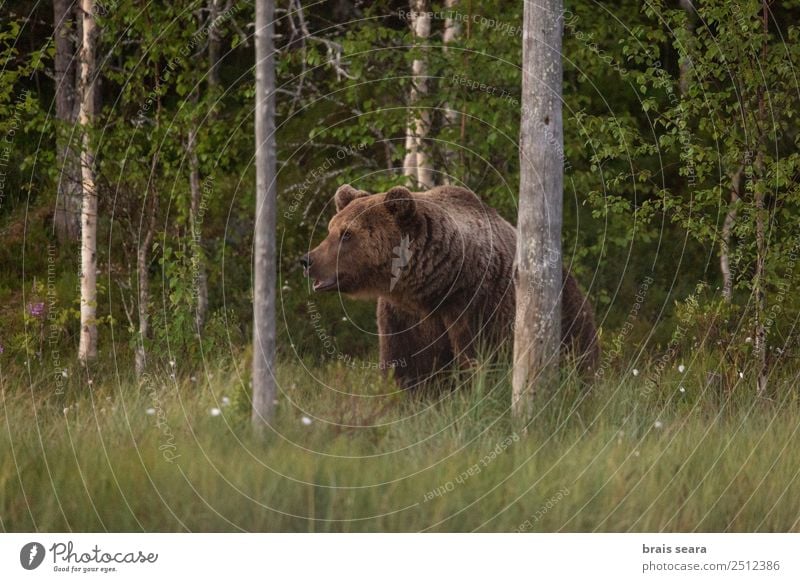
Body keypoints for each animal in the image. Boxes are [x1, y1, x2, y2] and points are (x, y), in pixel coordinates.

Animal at [302, 185, 600, 390]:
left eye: (347, 234)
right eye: (331, 229)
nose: (308, 260)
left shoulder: (476, 305)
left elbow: (483, 362)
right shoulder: (403, 315)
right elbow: (407, 365)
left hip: (567, 315)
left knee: (580, 356)